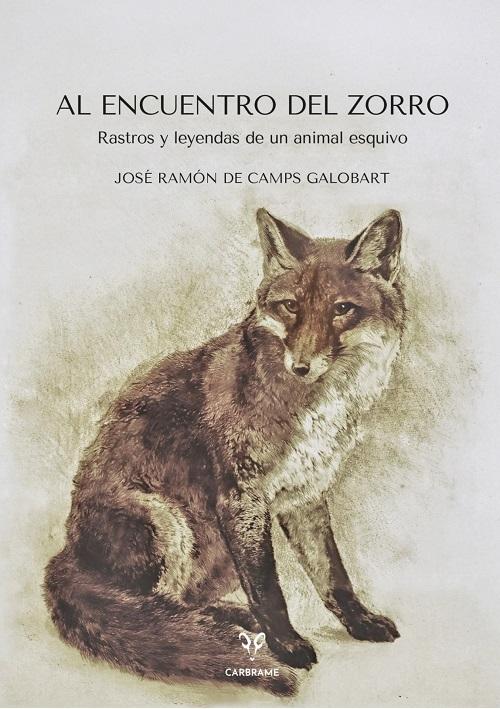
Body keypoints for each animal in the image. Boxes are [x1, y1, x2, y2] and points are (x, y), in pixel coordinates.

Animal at [44, 207, 405, 696]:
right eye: (291, 306)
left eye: (342, 309)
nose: (302, 365)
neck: (317, 409)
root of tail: (68, 555)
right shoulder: (242, 498)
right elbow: (270, 591)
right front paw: (286, 645)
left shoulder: (305, 496)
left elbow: (333, 575)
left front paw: (359, 622)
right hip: (169, 523)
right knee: (152, 611)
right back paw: (225, 630)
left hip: (217, 548)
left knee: (179, 605)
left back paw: (232, 620)